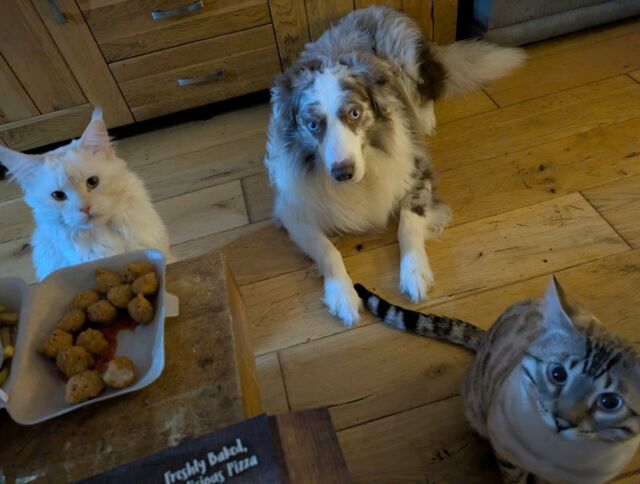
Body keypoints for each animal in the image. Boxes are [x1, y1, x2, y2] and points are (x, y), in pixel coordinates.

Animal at [264, 7, 524, 325]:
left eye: (354, 113)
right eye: (313, 124)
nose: (343, 173)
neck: (363, 176)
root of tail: (372, 10)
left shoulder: (418, 174)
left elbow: (407, 225)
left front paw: (414, 274)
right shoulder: (292, 212)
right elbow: (327, 250)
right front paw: (343, 295)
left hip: (406, 56)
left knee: (428, 91)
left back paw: (424, 118)